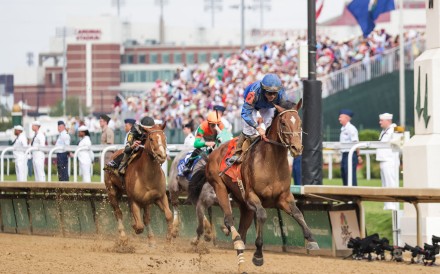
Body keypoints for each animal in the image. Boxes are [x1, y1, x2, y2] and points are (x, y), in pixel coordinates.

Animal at [187, 99, 318, 272]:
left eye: (300, 123)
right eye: (283, 123)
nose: (297, 148)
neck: (271, 163)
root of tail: (212, 154)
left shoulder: (283, 197)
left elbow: (298, 213)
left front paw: (311, 240)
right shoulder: (251, 196)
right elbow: (262, 215)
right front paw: (258, 255)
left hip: (243, 205)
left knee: (242, 229)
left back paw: (239, 256)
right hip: (219, 187)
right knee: (228, 219)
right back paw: (233, 239)